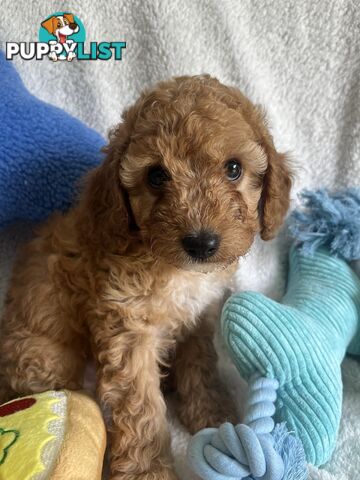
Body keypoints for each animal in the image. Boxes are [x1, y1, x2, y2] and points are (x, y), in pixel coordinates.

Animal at [0, 76, 292, 480]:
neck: (173, 267)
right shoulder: (127, 331)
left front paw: (213, 413)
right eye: (156, 176)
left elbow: (200, 365)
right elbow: (141, 407)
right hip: (44, 358)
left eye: (234, 168)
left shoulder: (197, 318)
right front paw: (147, 470)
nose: (201, 242)